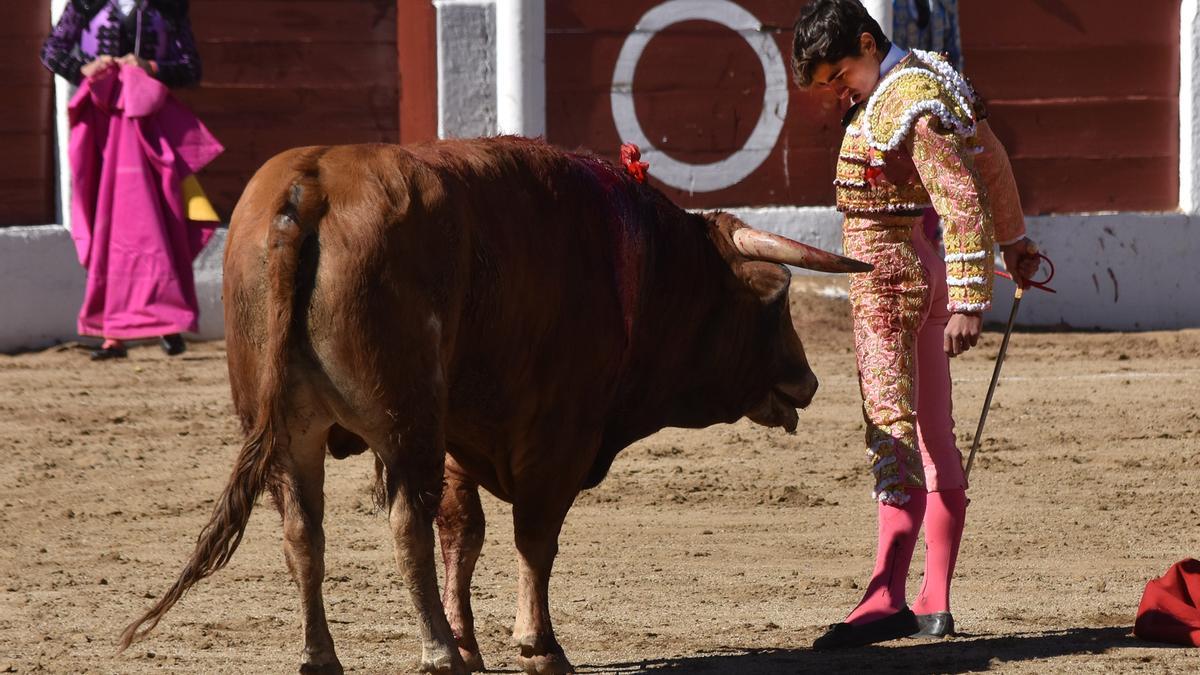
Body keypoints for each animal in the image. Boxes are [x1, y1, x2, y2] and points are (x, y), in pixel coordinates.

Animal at [117, 138, 868, 672]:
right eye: (777, 303)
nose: (808, 381)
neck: (642, 267)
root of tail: (313, 185)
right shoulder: (557, 435)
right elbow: (534, 537)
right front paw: (537, 646)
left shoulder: (462, 433)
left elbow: (465, 530)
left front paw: (474, 641)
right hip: (406, 423)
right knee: (404, 526)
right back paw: (435, 654)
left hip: (289, 429)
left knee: (304, 530)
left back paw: (322, 657)